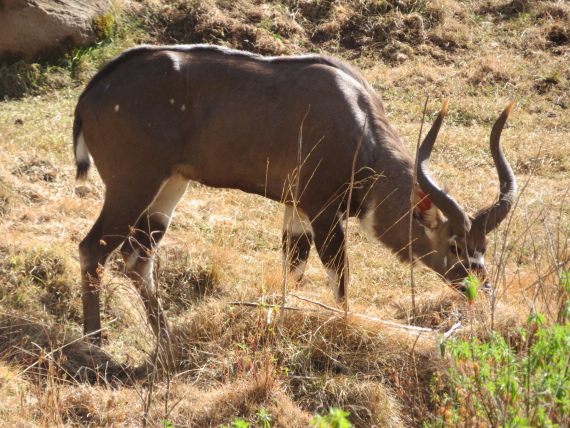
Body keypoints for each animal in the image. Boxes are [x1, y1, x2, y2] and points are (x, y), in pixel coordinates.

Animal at [72, 44, 516, 344]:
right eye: (455, 245)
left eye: (484, 246)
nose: (480, 288)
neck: (359, 124)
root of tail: (92, 93)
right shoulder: (322, 210)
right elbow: (339, 280)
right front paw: (342, 329)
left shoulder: (296, 209)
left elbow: (294, 271)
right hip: (133, 185)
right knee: (92, 248)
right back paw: (96, 345)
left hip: (169, 188)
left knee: (137, 259)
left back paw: (166, 340)